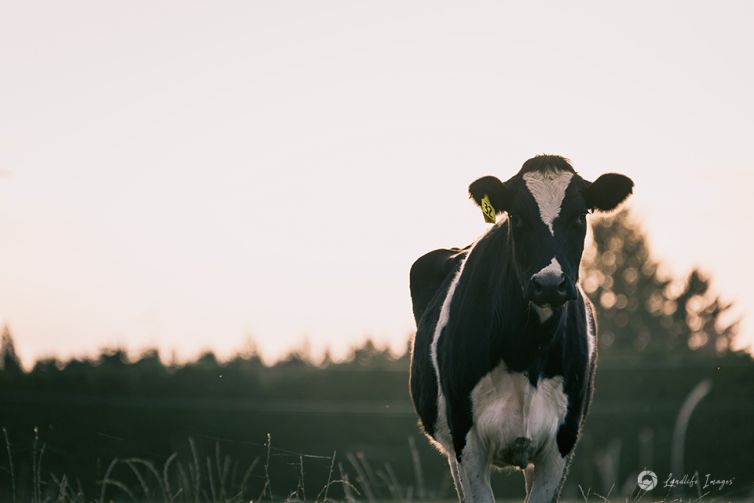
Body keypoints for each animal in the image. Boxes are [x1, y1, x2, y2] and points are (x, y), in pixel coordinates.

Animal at [408, 156, 632, 503]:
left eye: (579, 216)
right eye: (518, 217)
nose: (550, 284)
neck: (527, 351)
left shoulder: (562, 440)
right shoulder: (466, 438)